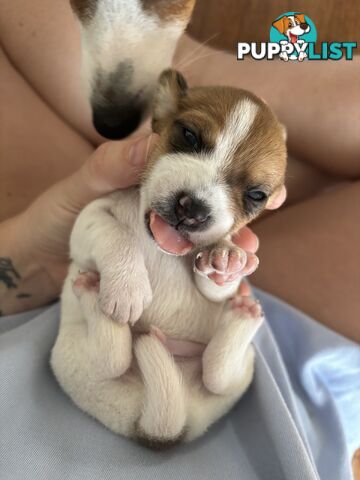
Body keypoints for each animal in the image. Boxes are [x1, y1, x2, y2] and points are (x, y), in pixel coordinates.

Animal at [50, 69, 286, 448]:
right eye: (188, 136)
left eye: (256, 195)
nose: (193, 209)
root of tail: (163, 425)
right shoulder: (87, 218)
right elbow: (115, 235)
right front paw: (128, 288)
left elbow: (217, 282)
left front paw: (225, 260)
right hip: (74, 359)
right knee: (112, 356)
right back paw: (91, 290)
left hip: (235, 375)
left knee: (216, 373)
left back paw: (242, 314)